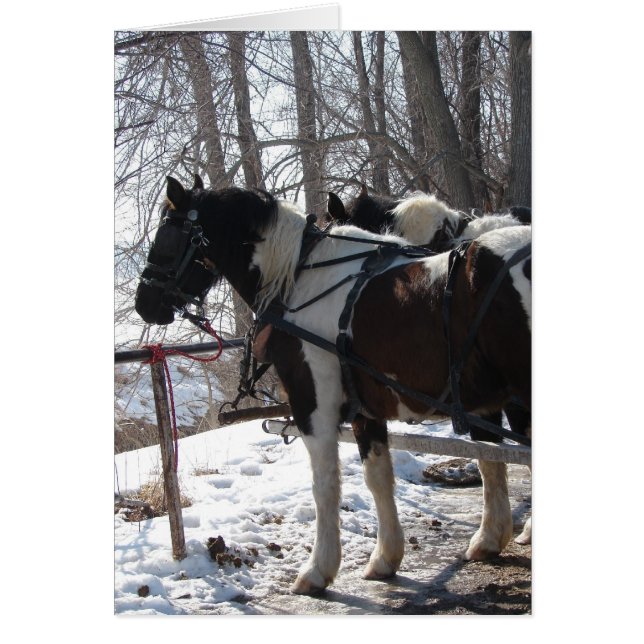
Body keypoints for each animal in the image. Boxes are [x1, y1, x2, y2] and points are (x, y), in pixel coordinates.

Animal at [136, 175, 532, 595]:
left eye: (166, 236)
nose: (144, 302)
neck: (302, 278)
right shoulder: (367, 408)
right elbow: (383, 477)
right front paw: (387, 556)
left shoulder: (313, 404)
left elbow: (325, 485)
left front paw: (318, 569)